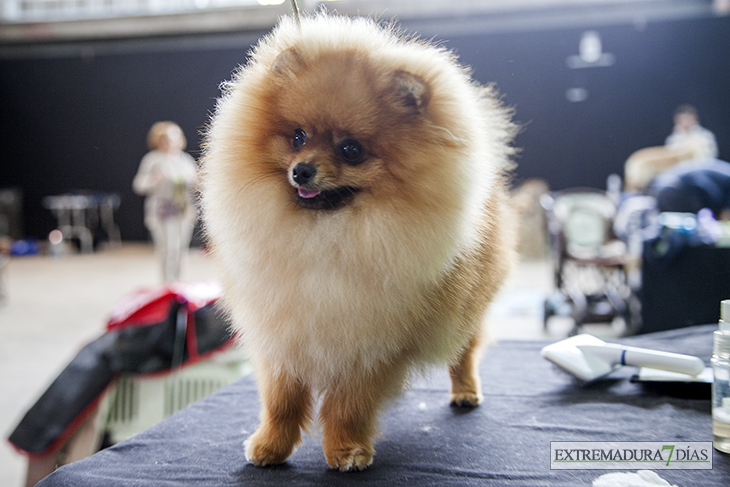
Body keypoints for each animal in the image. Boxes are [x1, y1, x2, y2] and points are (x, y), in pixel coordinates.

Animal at [199, 11, 516, 470]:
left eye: (351, 150)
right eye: (298, 137)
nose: (302, 170)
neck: (325, 237)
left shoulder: (367, 344)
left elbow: (348, 405)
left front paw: (346, 450)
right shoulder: (282, 331)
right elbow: (281, 400)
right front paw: (270, 446)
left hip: (463, 310)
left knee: (464, 350)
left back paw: (465, 391)